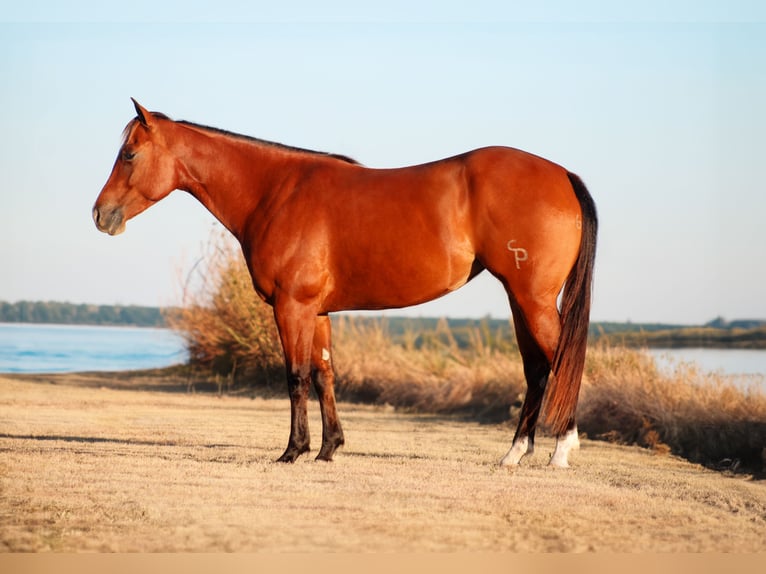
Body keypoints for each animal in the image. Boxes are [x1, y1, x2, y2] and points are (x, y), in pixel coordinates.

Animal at [93, 99, 597, 468]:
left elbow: (296, 376)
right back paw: (514, 453)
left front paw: (292, 451)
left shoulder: (291, 307)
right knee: (537, 369)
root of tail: (562, 174)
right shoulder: (317, 311)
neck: (276, 192)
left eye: (129, 154)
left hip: (532, 300)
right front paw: (328, 448)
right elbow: (325, 375)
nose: (100, 215)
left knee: (562, 361)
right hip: (520, 300)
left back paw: (560, 450)